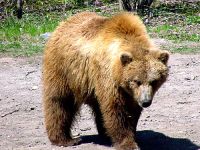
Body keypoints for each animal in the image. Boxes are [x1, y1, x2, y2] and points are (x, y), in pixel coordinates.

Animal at [42, 11, 169, 150]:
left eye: (154, 81)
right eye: (136, 81)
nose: (146, 102)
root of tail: (63, 24)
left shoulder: (130, 92)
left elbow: (132, 110)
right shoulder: (108, 76)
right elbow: (116, 109)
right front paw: (128, 143)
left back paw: (104, 134)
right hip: (64, 69)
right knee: (60, 102)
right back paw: (66, 139)